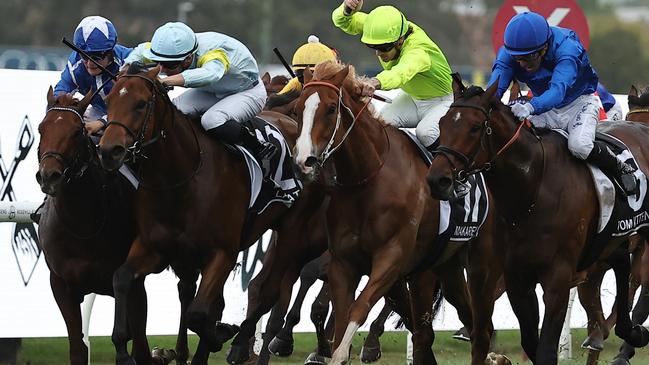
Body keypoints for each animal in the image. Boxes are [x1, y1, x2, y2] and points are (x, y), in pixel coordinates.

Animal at [36, 89, 190, 364]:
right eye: (42, 128)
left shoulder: (134, 285)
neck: (83, 226)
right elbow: (78, 349)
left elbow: (140, 348)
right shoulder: (61, 285)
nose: (48, 176)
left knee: (186, 291)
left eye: (77, 131)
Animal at [292, 61, 504, 364]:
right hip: (444, 267)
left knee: (478, 324)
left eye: (331, 109)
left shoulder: (391, 257)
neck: (369, 180)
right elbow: (344, 316)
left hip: (480, 264)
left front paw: (341, 353)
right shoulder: (343, 264)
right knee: (448, 324)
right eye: (297, 109)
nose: (304, 162)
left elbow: (359, 308)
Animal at [426, 75, 648, 362]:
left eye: (475, 127)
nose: (437, 179)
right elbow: (529, 341)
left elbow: (544, 349)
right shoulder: (516, 276)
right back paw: (625, 332)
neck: (532, 189)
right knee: (621, 264)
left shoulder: (558, 277)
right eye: (442, 123)